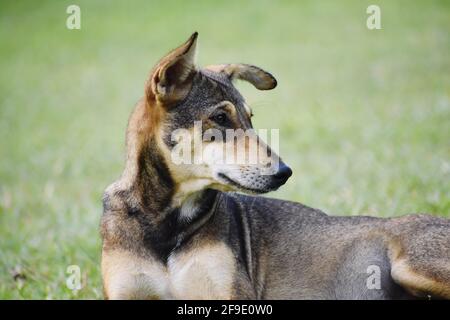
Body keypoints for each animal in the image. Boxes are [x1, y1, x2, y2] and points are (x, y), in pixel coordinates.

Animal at [101, 33, 450, 300]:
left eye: (250, 118)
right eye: (220, 118)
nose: (285, 172)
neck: (168, 222)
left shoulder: (231, 293)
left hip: (412, 265)